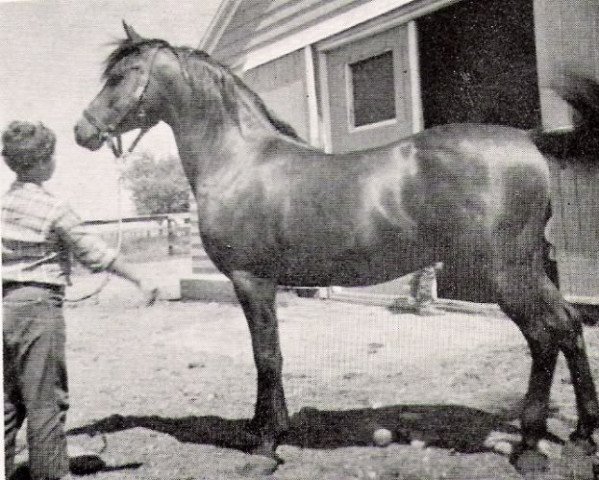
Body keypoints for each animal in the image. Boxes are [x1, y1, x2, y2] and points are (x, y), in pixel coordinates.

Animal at [76, 22, 599, 472]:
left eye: (120, 76)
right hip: (529, 268)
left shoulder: (251, 282)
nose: (83, 132)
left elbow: (266, 356)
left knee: (544, 336)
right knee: (570, 325)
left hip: (505, 273)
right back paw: (582, 435)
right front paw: (265, 429)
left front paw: (265, 447)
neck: (239, 161)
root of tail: (527, 140)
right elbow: (269, 355)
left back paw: (529, 446)